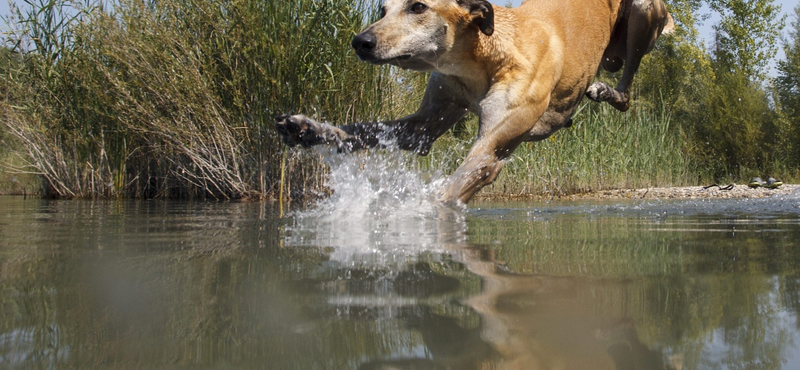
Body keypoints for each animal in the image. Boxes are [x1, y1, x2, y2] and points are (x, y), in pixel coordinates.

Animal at [276, 0, 676, 202]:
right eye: (382, 10)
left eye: (418, 6)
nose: (361, 42)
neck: (487, 54)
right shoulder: (427, 121)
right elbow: (362, 130)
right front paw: (307, 129)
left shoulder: (489, 152)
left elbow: (450, 191)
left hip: (644, 11)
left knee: (626, 95)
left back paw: (608, 91)